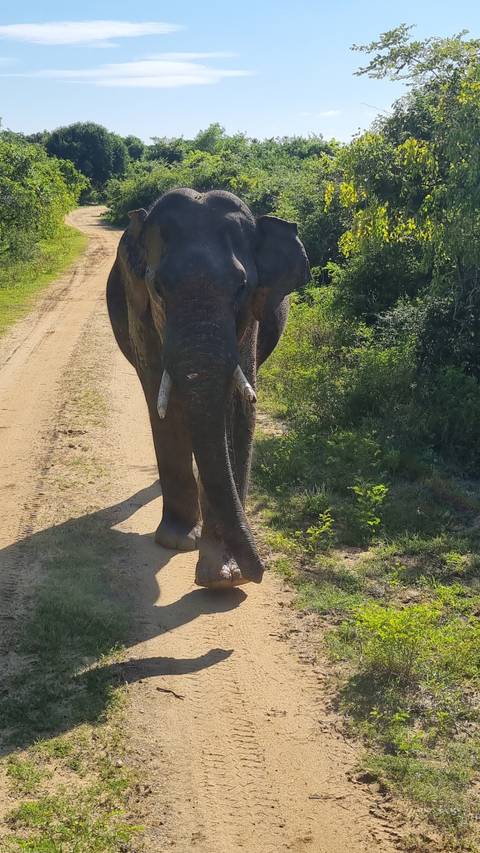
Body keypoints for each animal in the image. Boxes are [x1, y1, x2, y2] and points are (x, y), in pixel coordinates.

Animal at [106, 188, 309, 589]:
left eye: (242, 287)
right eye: (158, 288)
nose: (259, 571)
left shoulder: (250, 321)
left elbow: (236, 408)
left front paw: (224, 577)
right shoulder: (141, 314)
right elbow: (162, 399)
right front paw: (179, 543)